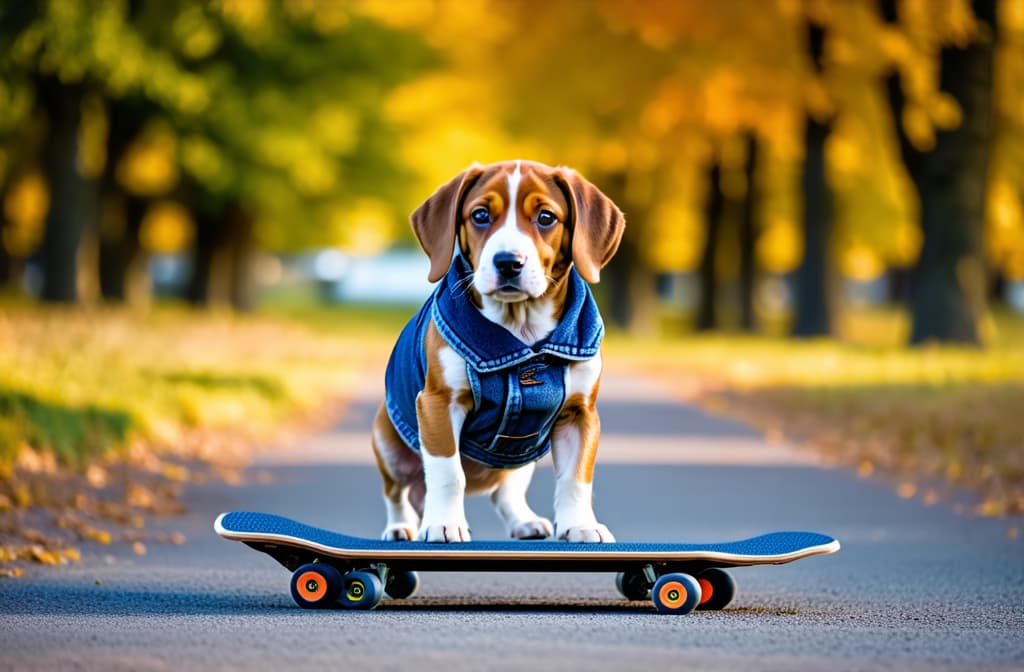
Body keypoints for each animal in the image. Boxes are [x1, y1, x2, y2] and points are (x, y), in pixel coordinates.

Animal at [370, 159, 622, 544]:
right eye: (480, 215)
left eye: (546, 217)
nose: (508, 262)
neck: (520, 328)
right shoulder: (438, 403)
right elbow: (448, 473)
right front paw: (444, 523)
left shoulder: (580, 414)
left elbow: (576, 479)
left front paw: (580, 524)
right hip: (388, 443)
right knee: (396, 493)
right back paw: (402, 526)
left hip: (522, 455)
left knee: (506, 491)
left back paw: (524, 521)